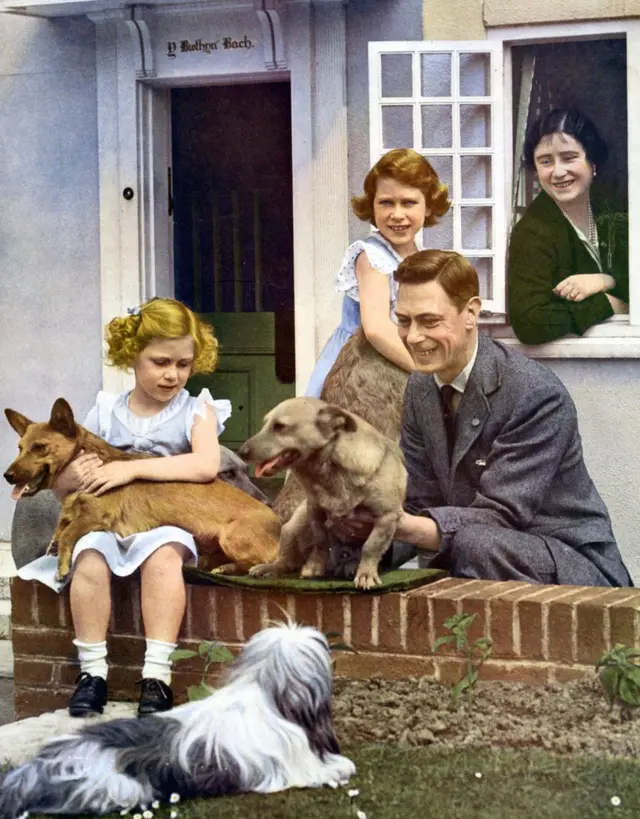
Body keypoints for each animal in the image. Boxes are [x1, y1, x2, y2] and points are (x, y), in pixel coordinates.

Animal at [0, 624, 356, 816]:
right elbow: (324, 769)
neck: (262, 688)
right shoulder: (288, 767)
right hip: (122, 787)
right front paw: (342, 766)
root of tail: (38, 765)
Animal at [4, 398, 280, 580]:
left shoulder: (97, 516)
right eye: (19, 448)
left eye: (40, 447)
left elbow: (69, 533)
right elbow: (62, 527)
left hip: (231, 536)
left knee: (263, 563)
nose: (7, 476)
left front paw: (61, 564)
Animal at [238, 398, 408, 588]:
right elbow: (320, 540)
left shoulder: (387, 516)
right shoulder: (314, 510)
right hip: (293, 526)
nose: (241, 452)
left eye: (279, 426)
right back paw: (270, 568)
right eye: (264, 425)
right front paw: (315, 566)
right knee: (286, 561)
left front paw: (366, 573)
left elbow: (371, 546)